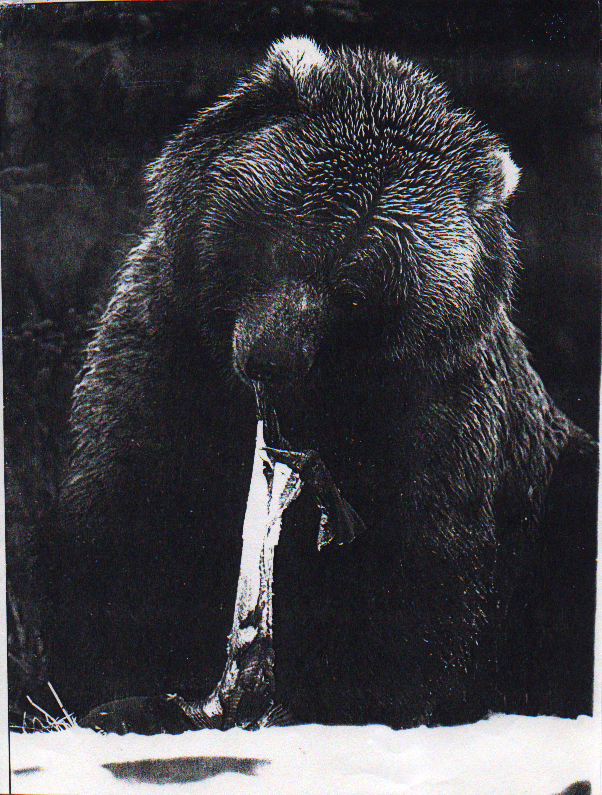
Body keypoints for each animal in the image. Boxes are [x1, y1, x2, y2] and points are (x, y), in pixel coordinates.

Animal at [45, 37, 597, 733]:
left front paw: (351, 698)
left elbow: (418, 572)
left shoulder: (431, 412)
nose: (268, 360)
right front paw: (126, 690)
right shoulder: (166, 352)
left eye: (356, 291)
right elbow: (129, 509)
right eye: (281, 238)